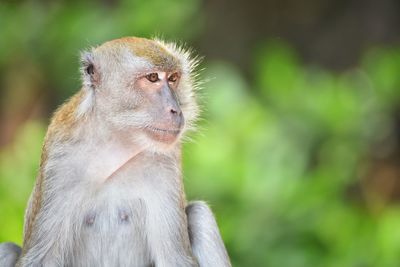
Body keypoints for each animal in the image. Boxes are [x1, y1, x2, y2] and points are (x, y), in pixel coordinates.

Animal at [0, 36, 231, 267]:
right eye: (153, 78)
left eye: (173, 78)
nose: (176, 110)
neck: (116, 143)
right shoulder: (59, 160)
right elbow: (40, 258)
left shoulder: (166, 162)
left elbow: (175, 258)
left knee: (199, 213)